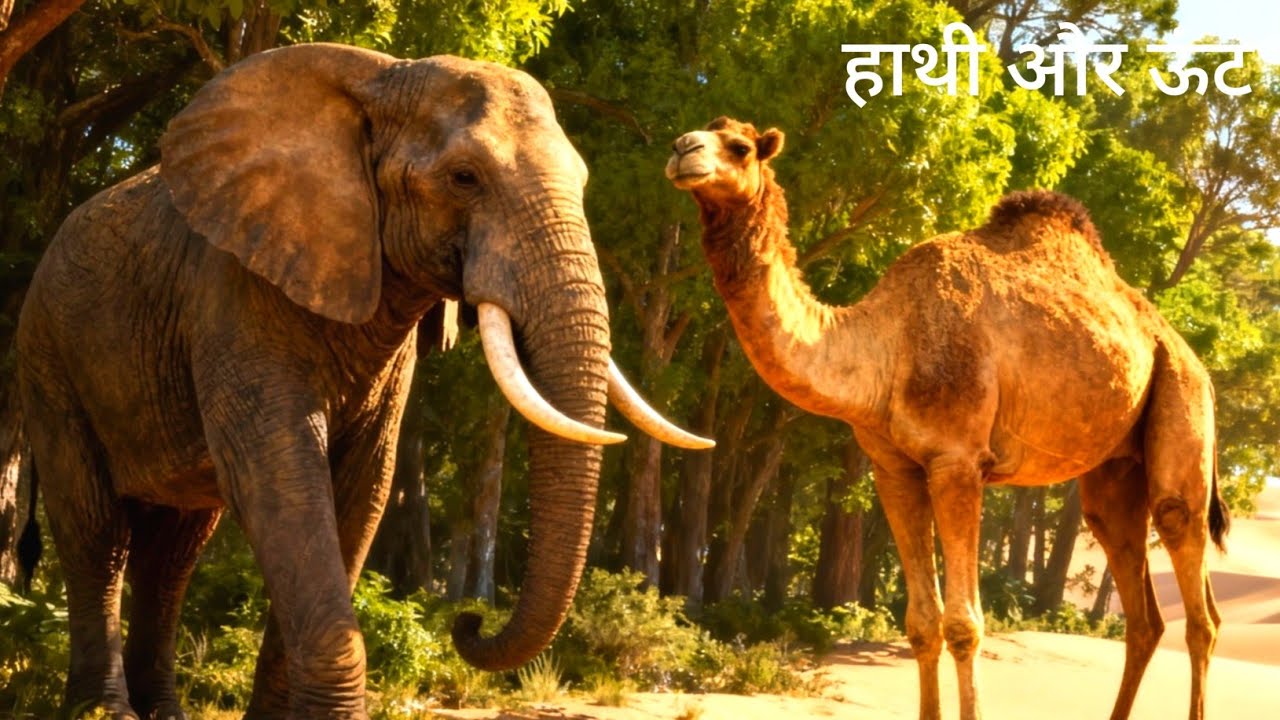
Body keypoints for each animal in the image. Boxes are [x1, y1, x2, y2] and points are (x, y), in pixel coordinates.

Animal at [15, 43, 711, 720]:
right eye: (464, 178)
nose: (468, 620)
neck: (378, 80)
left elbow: (361, 489)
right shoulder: (233, 289)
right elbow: (279, 478)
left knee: (175, 549)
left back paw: (162, 712)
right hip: (47, 358)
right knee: (97, 530)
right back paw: (106, 712)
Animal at [666, 117, 1228, 720]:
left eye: (740, 147)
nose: (682, 149)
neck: (887, 344)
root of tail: (1188, 354)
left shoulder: (958, 460)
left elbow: (964, 624)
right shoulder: (894, 468)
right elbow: (921, 622)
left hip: (1182, 397)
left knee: (1195, 587)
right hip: (1116, 469)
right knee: (1140, 606)